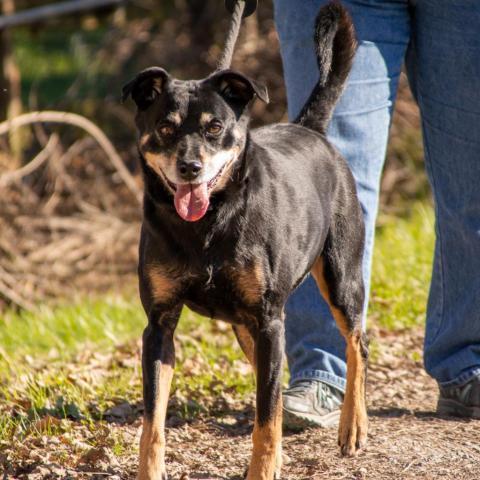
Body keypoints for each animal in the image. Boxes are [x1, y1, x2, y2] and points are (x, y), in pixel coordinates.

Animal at [123, 1, 368, 478]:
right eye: (165, 128)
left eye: (215, 127)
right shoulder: (159, 325)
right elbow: (152, 423)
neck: (207, 226)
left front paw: (264, 468)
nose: (190, 168)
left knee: (356, 346)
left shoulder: (270, 320)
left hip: (341, 278)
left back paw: (353, 427)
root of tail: (311, 130)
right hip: (245, 325)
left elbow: (266, 417)